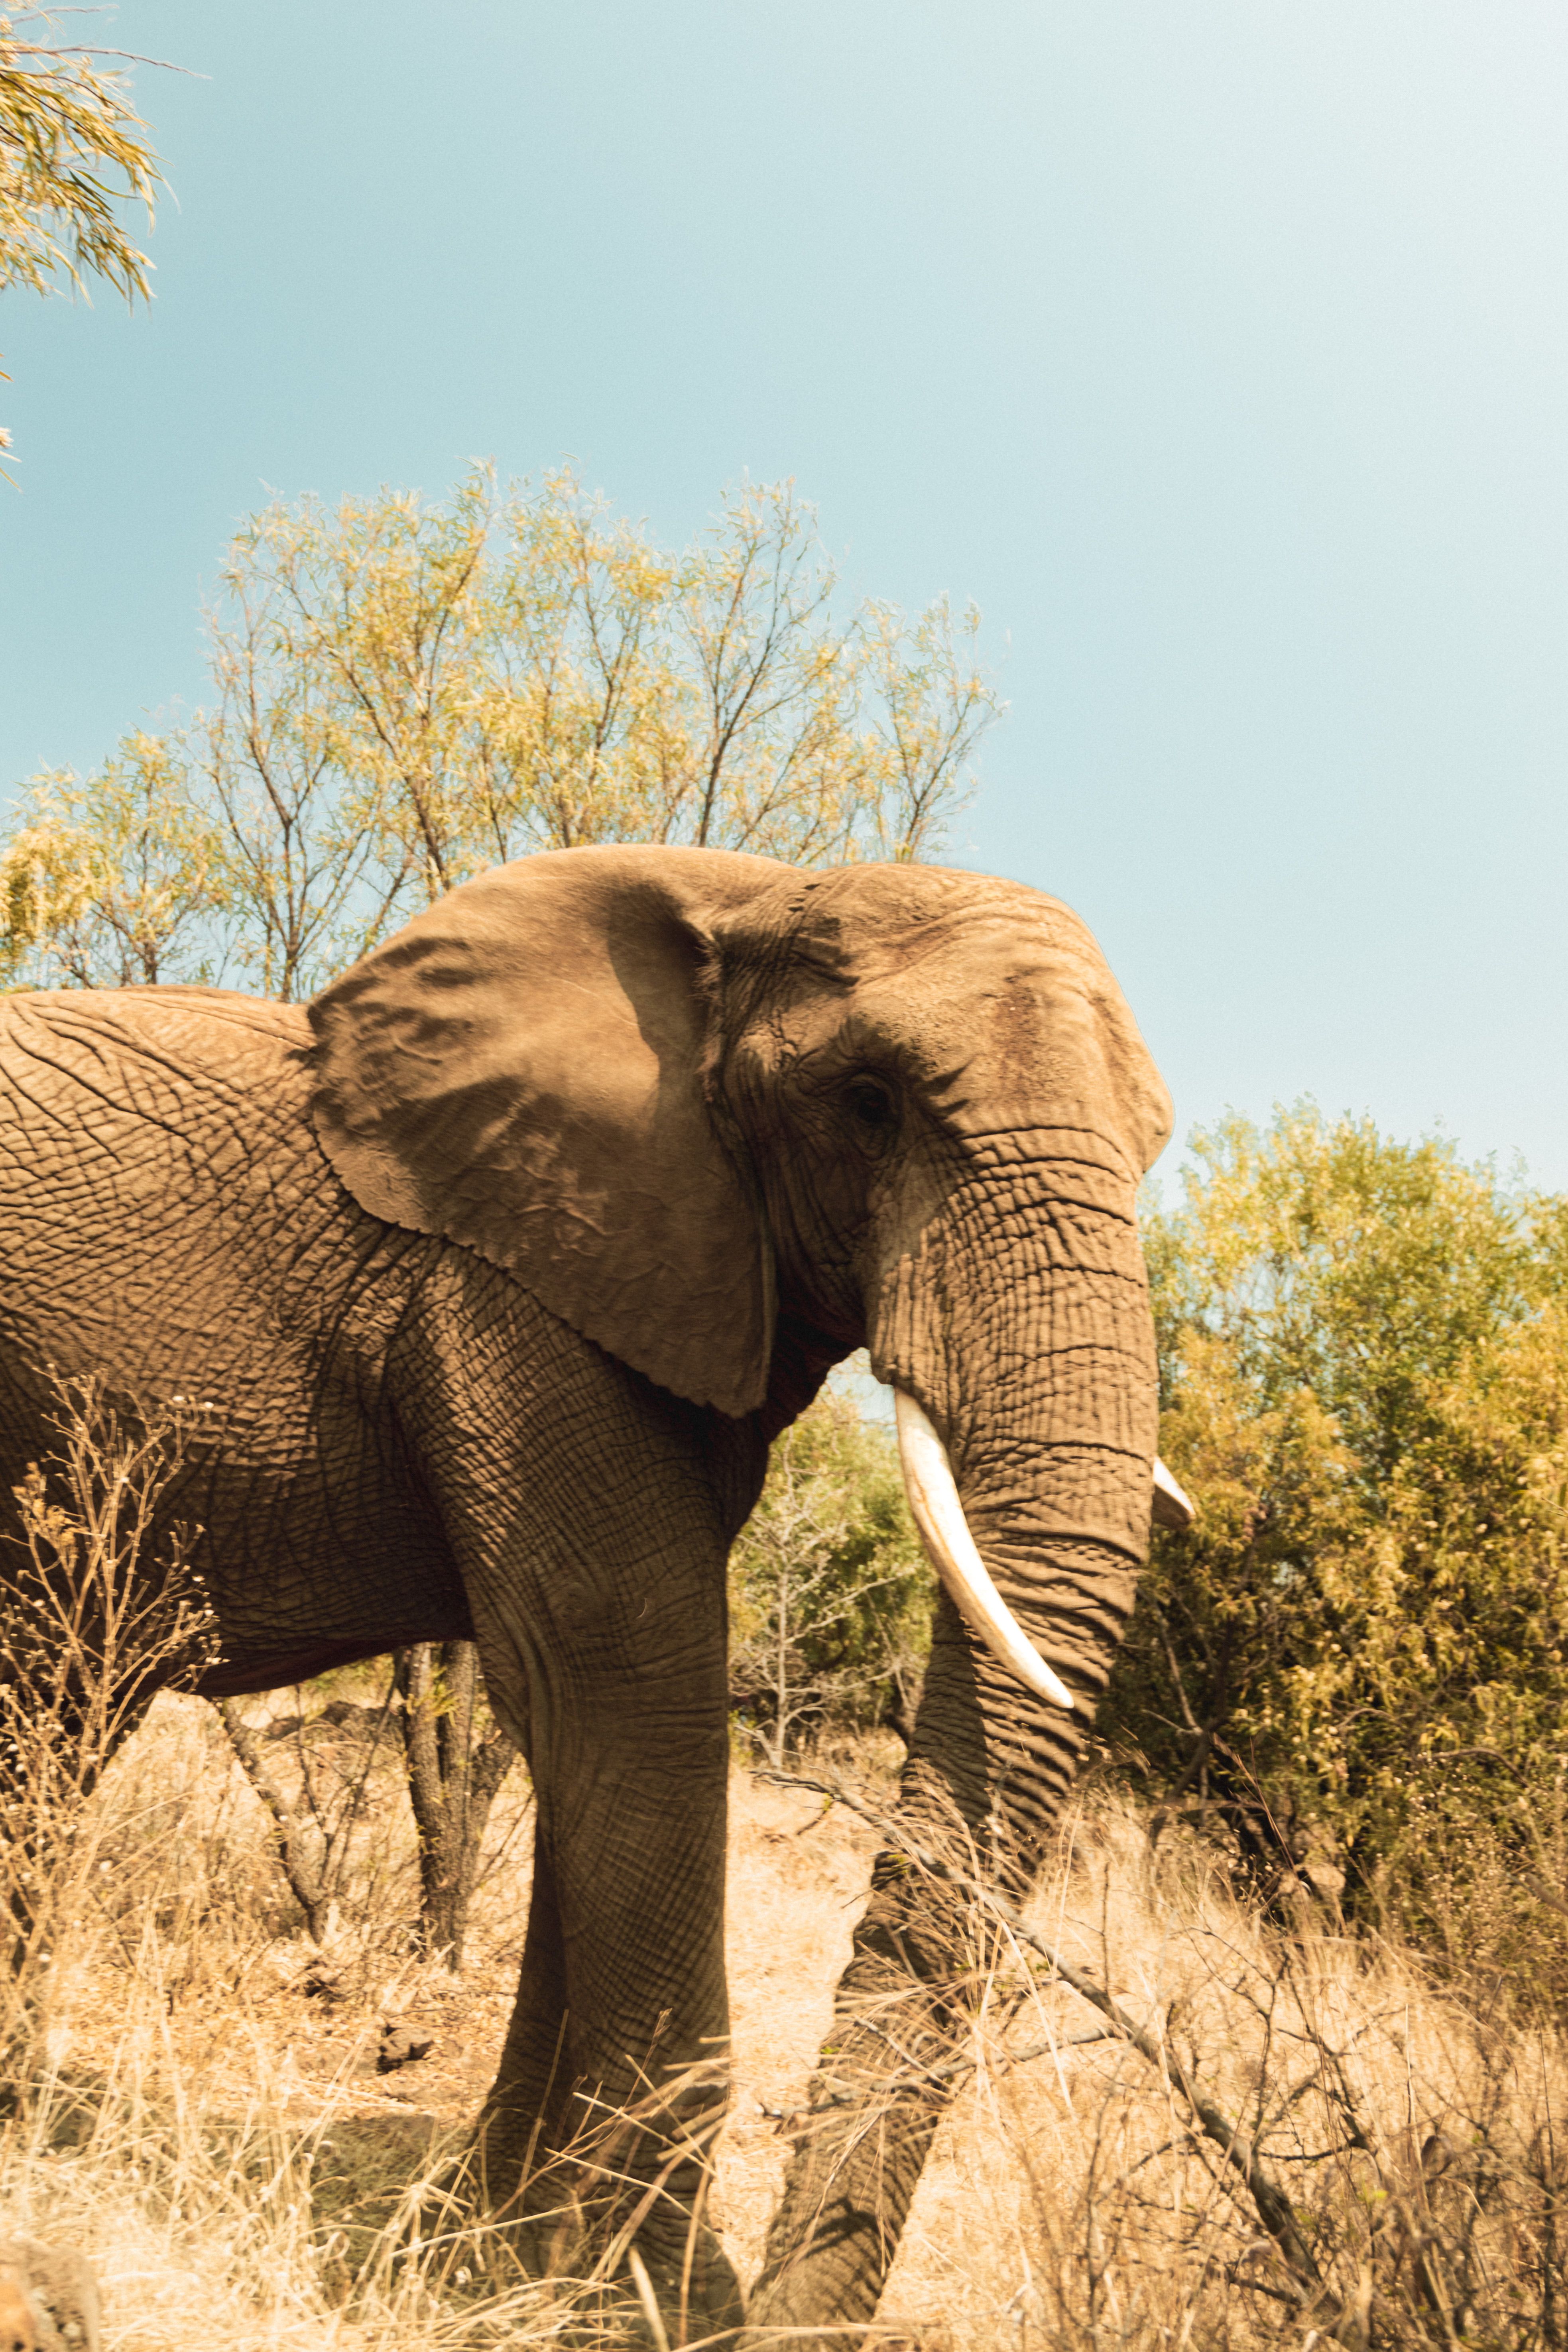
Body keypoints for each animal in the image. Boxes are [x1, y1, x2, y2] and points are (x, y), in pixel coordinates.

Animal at [0, 843, 1185, 2339]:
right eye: (870, 1106)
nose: (780, 2325)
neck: (753, 897)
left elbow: (589, 1735)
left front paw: (491, 2245)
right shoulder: (509, 1300)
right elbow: (628, 1676)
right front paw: (640, 2306)